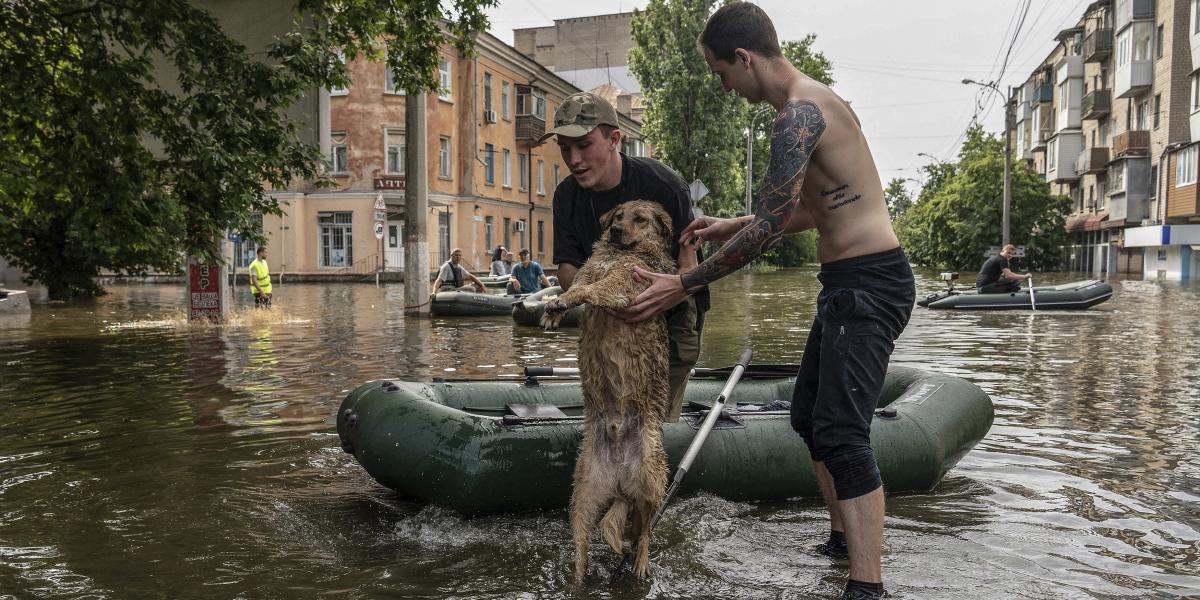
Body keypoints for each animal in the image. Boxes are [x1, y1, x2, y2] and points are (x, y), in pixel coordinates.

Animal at [542, 200, 676, 580]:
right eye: (617, 216)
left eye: (640, 219)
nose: (615, 230)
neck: (619, 253)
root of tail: (619, 480)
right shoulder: (588, 271)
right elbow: (574, 286)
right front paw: (554, 307)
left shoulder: (621, 284)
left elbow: (590, 290)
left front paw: (562, 303)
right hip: (584, 494)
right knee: (582, 542)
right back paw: (577, 576)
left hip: (651, 477)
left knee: (646, 530)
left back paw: (641, 561)